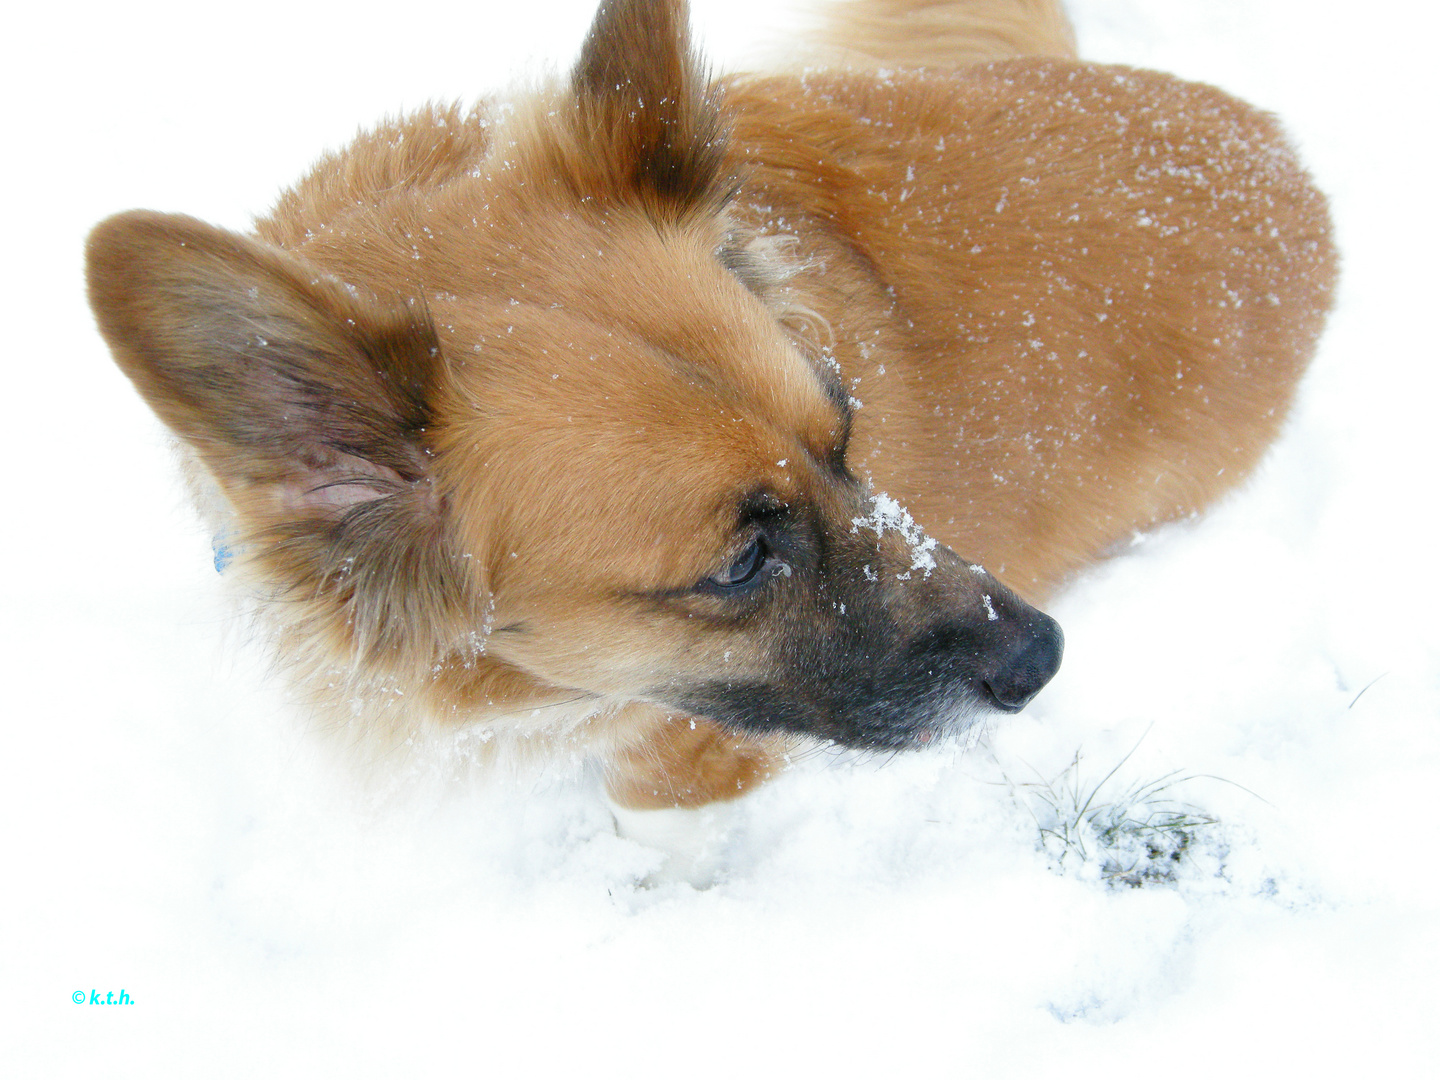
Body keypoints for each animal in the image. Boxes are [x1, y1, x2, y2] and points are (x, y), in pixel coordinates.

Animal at [84, 0, 1330, 846]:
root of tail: (1279, 154)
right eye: (738, 563)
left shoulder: (693, 744)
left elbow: (655, 805)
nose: (1042, 656)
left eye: (845, 432)